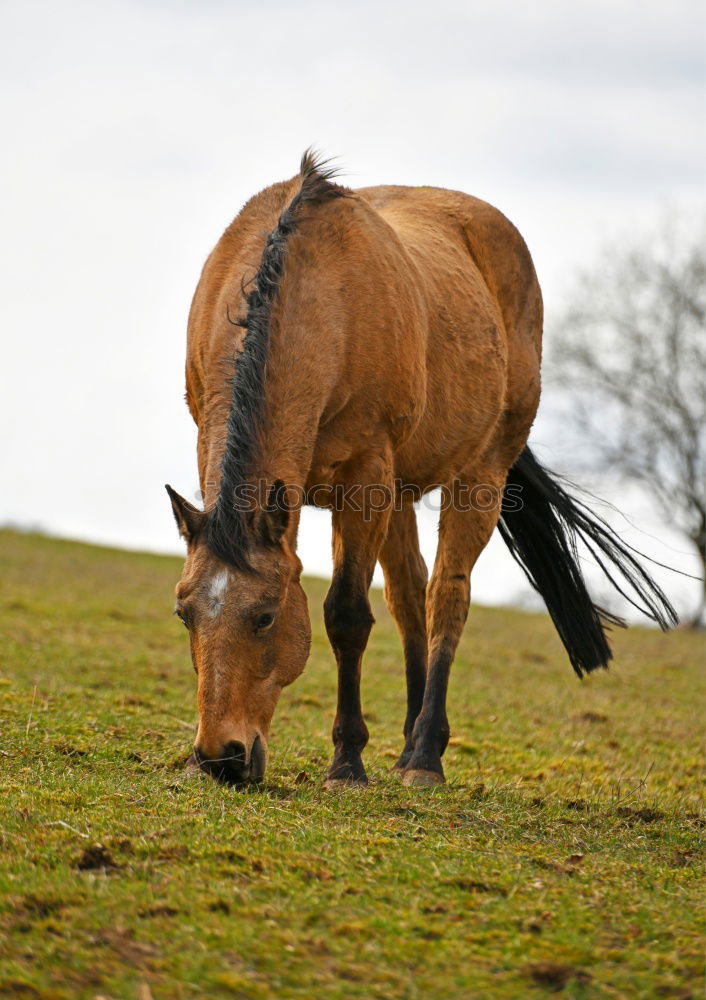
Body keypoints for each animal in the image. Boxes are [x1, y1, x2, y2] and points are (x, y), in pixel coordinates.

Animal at [166, 150, 676, 788]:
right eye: (184, 614)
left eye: (265, 616)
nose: (221, 757)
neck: (317, 295)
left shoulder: (364, 480)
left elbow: (346, 615)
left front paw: (346, 763)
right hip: (402, 492)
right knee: (410, 599)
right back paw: (409, 741)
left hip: (478, 477)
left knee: (444, 599)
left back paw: (425, 754)